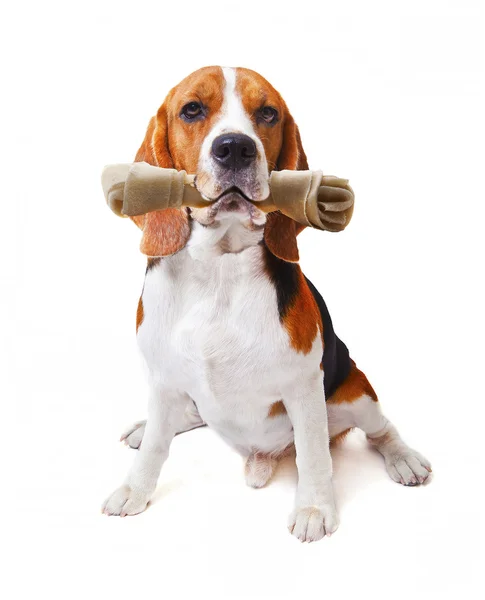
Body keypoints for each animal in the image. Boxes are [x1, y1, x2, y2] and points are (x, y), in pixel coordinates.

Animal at [102, 67, 432, 544]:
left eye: (269, 113)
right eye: (192, 110)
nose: (235, 147)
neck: (219, 270)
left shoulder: (303, 387)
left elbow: (313, 455)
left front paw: (314, 507)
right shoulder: (162, 376)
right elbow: (155, 448)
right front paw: (135, 488)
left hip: (355, 394)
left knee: (378, 430)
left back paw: (403, 458)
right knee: (188, 416)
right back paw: (149, 427)